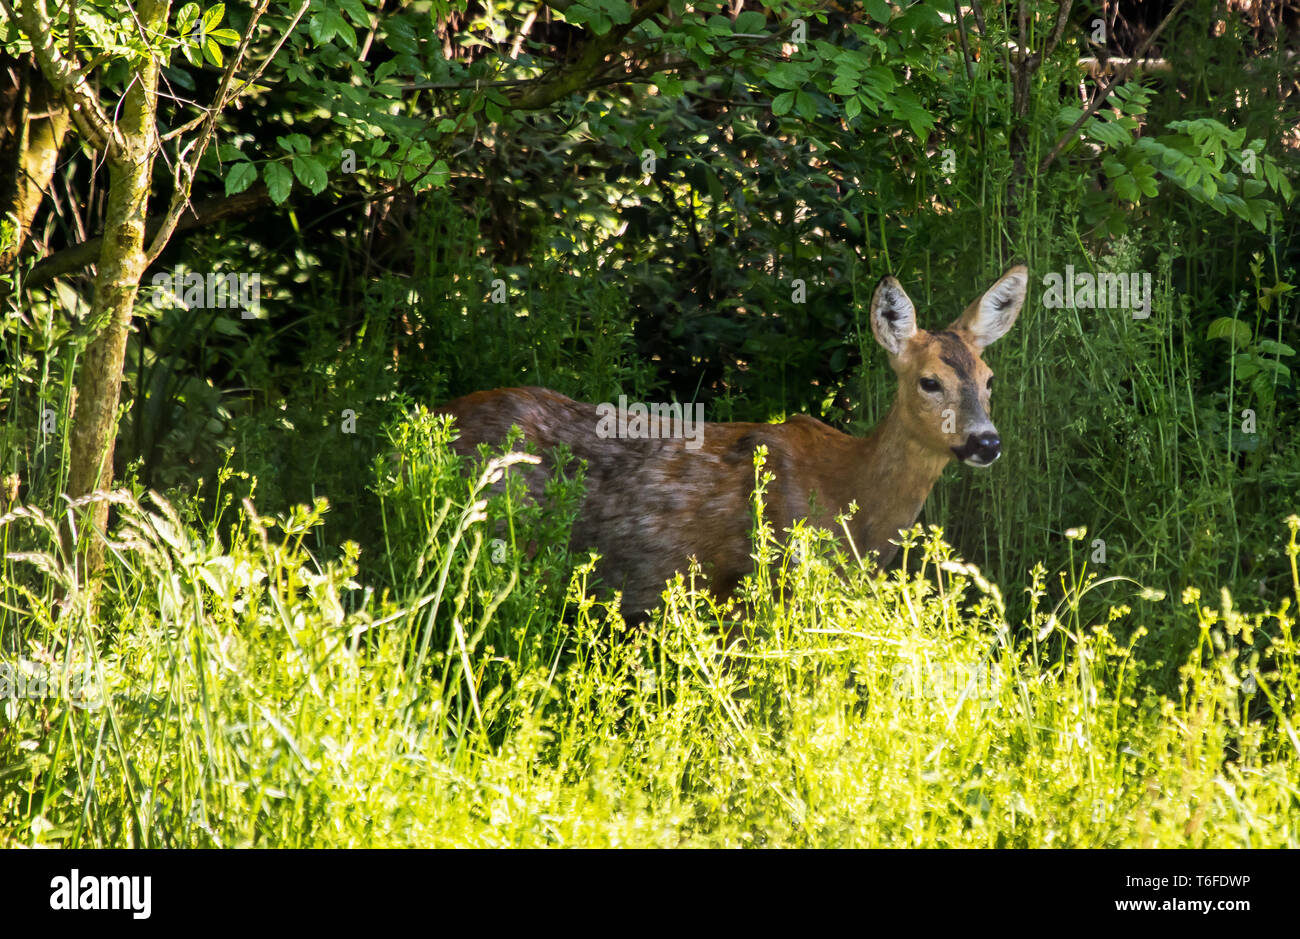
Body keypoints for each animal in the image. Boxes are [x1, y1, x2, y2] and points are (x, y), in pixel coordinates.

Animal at [436, 262, 1024, 619]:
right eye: (929, 381)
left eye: (990, 379)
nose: (986, 443)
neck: (846, 494)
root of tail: (438, 418)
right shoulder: (758, 582)